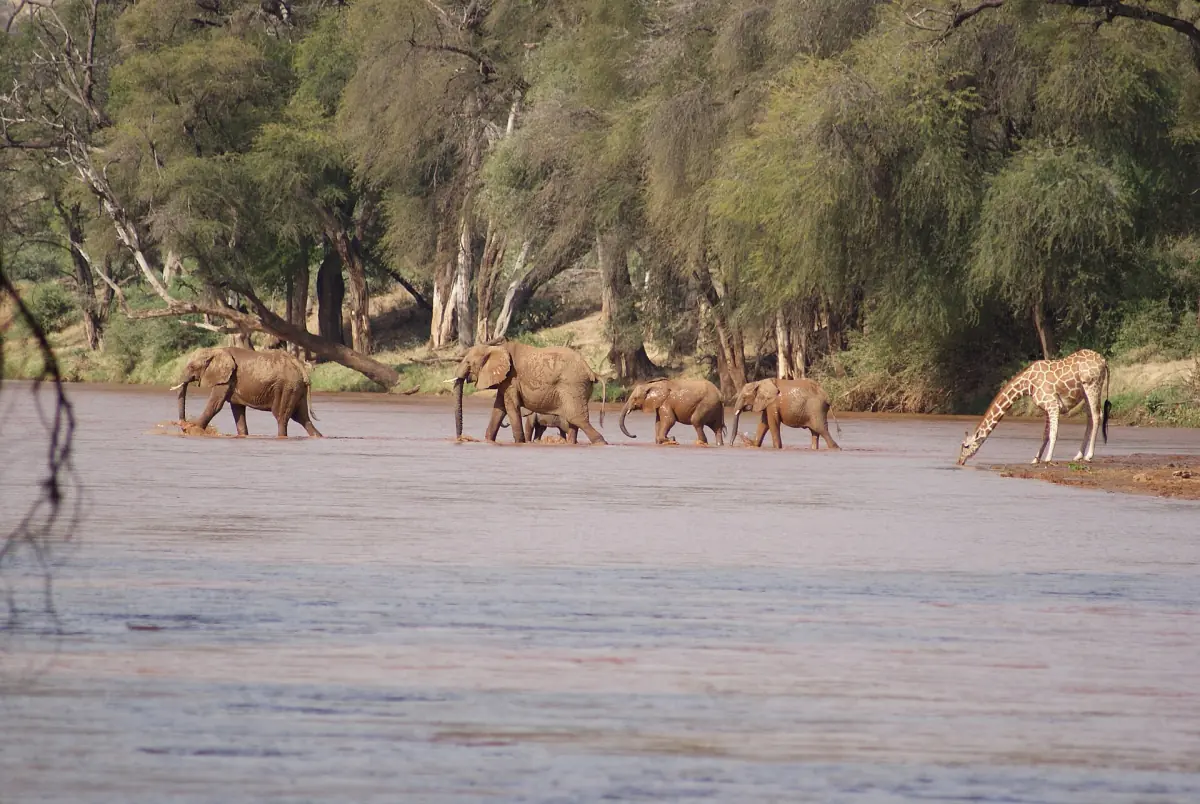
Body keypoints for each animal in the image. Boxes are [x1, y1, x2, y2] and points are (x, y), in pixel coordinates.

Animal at [957, 349, 1111, 466]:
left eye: (966, 445)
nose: (959, 461)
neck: (1027, 384)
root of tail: (1104, 361)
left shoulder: (1052, 404)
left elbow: (1053, 433)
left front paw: (1048, 459)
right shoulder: (1046, 408)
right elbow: (1045, 435)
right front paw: (1035, 459)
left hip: (1092, 386)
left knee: (1097, 415)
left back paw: (1088, 456)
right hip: (1086, 392)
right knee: (1090, 417)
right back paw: (1078, 456)